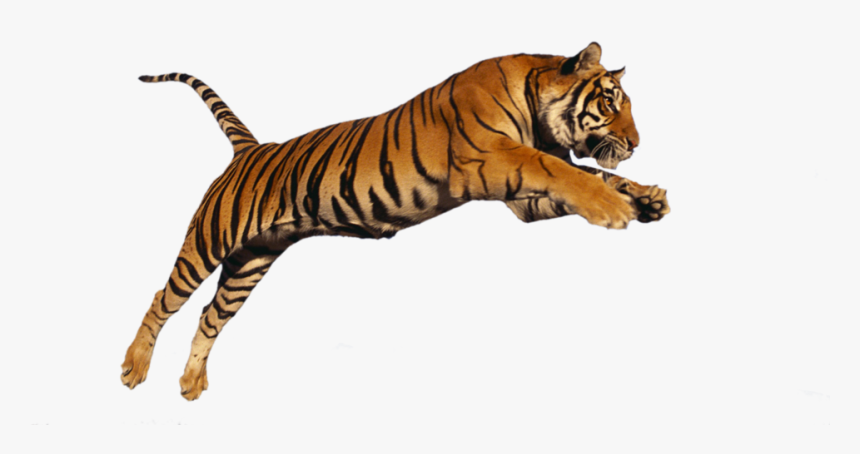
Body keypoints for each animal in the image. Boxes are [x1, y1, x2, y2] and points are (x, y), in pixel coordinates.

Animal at [121, 42, 670, 400]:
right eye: (609, 102)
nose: (636, 143)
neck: (537, 111)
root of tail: (251, 149)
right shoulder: (493, 160)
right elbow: (567, 171)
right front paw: (615, 208)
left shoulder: (522, 202)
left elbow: (595, 174)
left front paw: (647, 199)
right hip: (208, 241)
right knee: (163, 298)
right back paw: (133, 368)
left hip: (252, 260)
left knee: (210, 315)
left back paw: (191, 384)